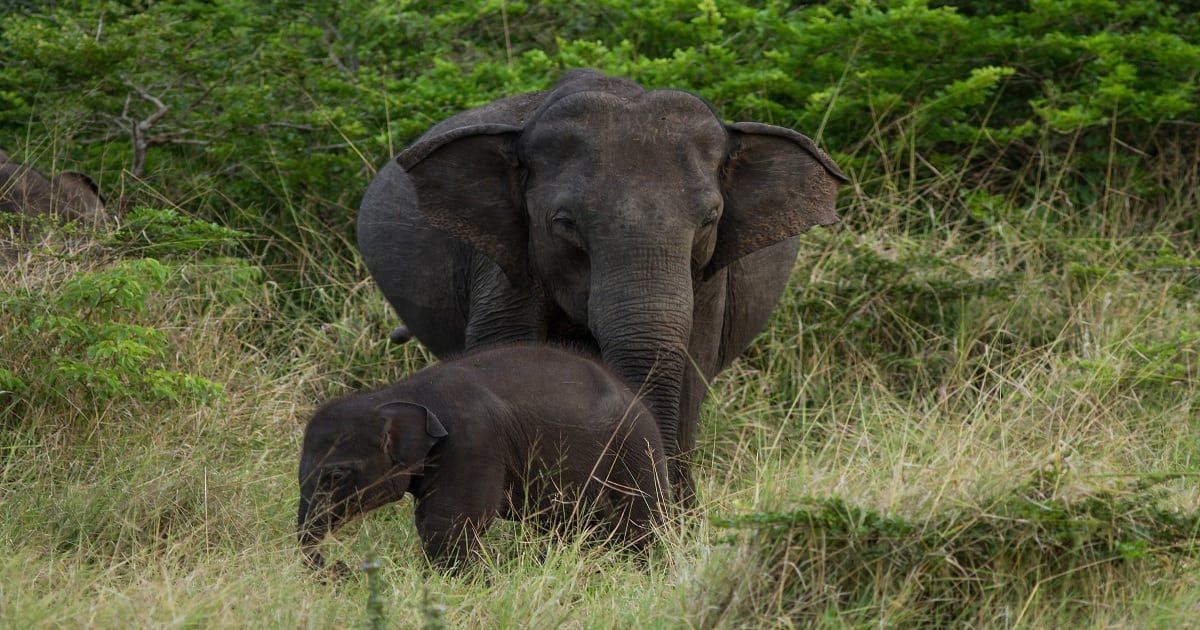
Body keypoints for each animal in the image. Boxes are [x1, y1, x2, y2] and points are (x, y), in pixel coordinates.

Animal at [292, 343, 667, 568]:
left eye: (335, 476)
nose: (342, 566)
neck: (396, 393)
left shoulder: (473, 441)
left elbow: (449, 527)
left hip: (636, 447)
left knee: (641, 523)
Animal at [355, 68, 844, 504]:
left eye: (710, 218)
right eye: (565, 223)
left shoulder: (710, 275)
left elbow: (692, 363)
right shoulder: (504, 257)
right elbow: (507, 348)